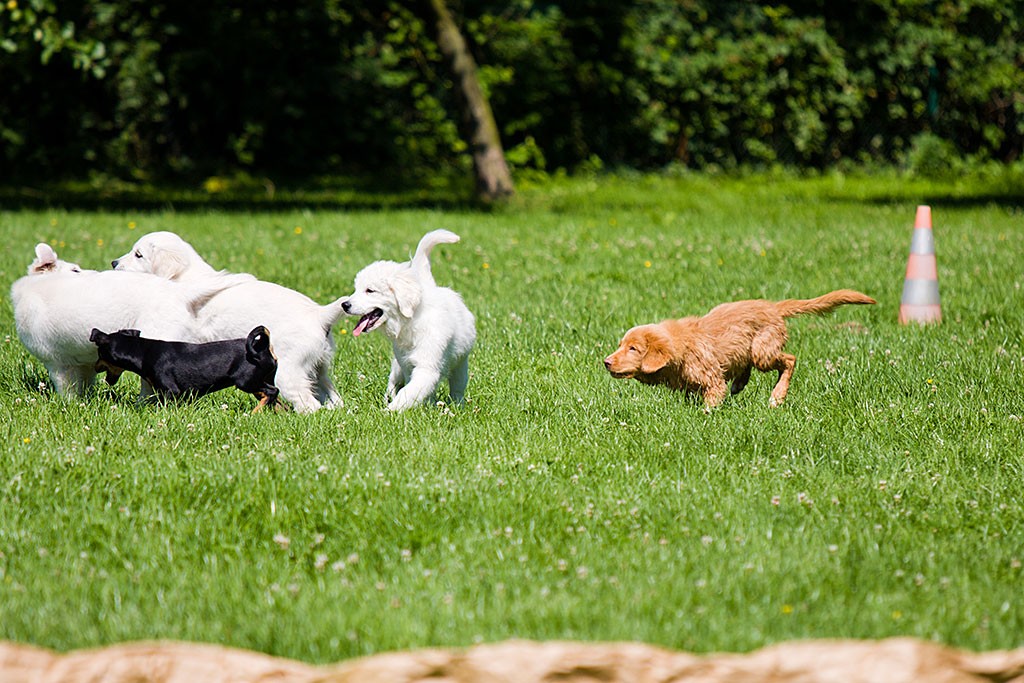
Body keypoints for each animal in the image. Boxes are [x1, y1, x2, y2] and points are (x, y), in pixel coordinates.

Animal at [12, 244, 253, 395]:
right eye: (76, 269)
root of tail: (178, 291)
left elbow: (69, 391)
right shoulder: (84, 365)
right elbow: (85, 386)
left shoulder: (59, 364)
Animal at [88, 325, 278, 411]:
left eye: (99, 354)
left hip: (246, 382)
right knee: (274, 399)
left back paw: (254, 412)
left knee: (272, 392)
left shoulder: (171, 391)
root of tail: (263, 348)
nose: (95, 368)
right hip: (258, 383)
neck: (141, 351)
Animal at [113, 231, 348, 411]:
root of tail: (319, 314)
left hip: (288, 371)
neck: (184, 277)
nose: (114, 263)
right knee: (333, 398)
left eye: (138, 255)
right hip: (318, 369)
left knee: (309, 405)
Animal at [342, 229, 473, 411]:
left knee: (457, 386)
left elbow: (409, 392)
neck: (411, 321)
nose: (344, 305)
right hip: (399, 364)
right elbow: (409, 390)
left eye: (370, 290)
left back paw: (456, 405)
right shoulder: (409, 366)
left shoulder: (427, 367)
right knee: (394, 380)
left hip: (460, 363)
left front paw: (388, 412)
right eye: (356, 289)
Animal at [602, 286, 876, 405]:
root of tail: (773, 307)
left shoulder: (711, 379)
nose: (605, 362)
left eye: (633, 349)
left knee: (789, 360)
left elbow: (711, 400)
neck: (682, 347)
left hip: (762, 351)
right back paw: (739, 385)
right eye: (621, 345)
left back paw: (777, 396)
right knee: (746, 367)